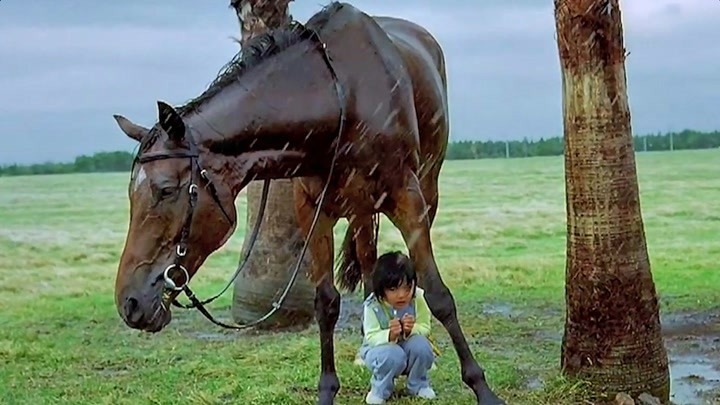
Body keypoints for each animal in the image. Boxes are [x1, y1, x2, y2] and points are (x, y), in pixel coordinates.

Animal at [114, 2, 506, 400]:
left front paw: (481, 386)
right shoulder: (313, 213)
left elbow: (436, 293)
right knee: (369, 270)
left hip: (427, 190)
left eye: (165, 190)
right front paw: (328, 388)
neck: (342, 98)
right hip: (361, 210)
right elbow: (326, 303)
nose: (129, 303)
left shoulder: (407, 199)